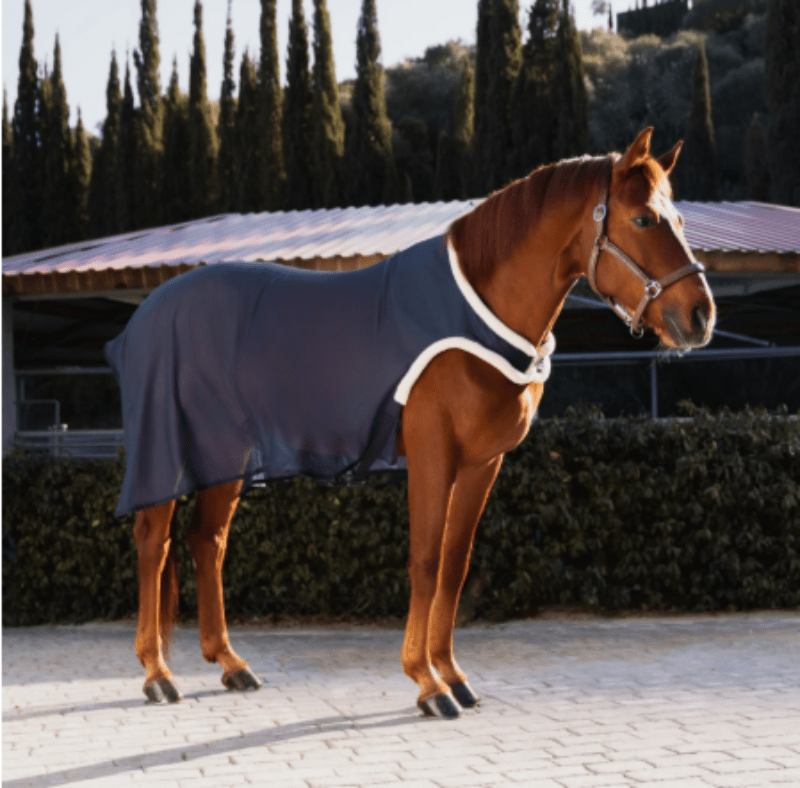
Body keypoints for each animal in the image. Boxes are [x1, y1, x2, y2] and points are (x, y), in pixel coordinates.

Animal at [109, 127, 715, 717]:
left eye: (681, 220)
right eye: (643, 219)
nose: (700, 316)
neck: (477, 312)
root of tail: (147, 314)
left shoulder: (482, 462)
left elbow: (454, 564)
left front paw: (453, 675)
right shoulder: (432, 455)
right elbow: (424, 560)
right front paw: (426, 683)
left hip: (226, 457)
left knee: (206, 541)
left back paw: (231, 665)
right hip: (169, 454)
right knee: (154, 541)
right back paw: (158, 674)